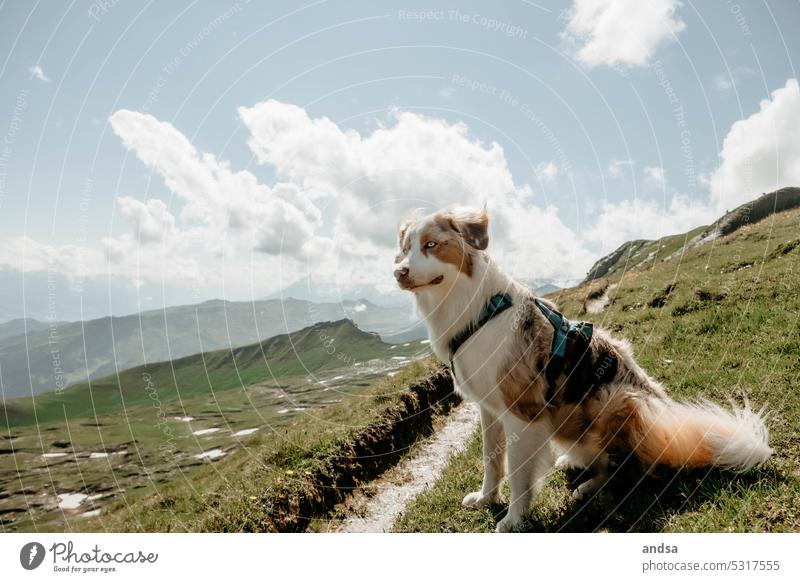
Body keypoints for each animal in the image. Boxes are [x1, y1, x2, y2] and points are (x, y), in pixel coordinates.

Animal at [390, 206, 772, 532]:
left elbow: (517, 471)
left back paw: (588, 486)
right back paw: (573, 462)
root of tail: (672, 430)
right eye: (405, 249)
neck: (477, 309)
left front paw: (514, 518)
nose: (398, 272)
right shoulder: (488, 408)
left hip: (617, 398)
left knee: (627, 469)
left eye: (431, 245)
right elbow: (491, 459)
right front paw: (486, 498)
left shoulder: (522, 413)